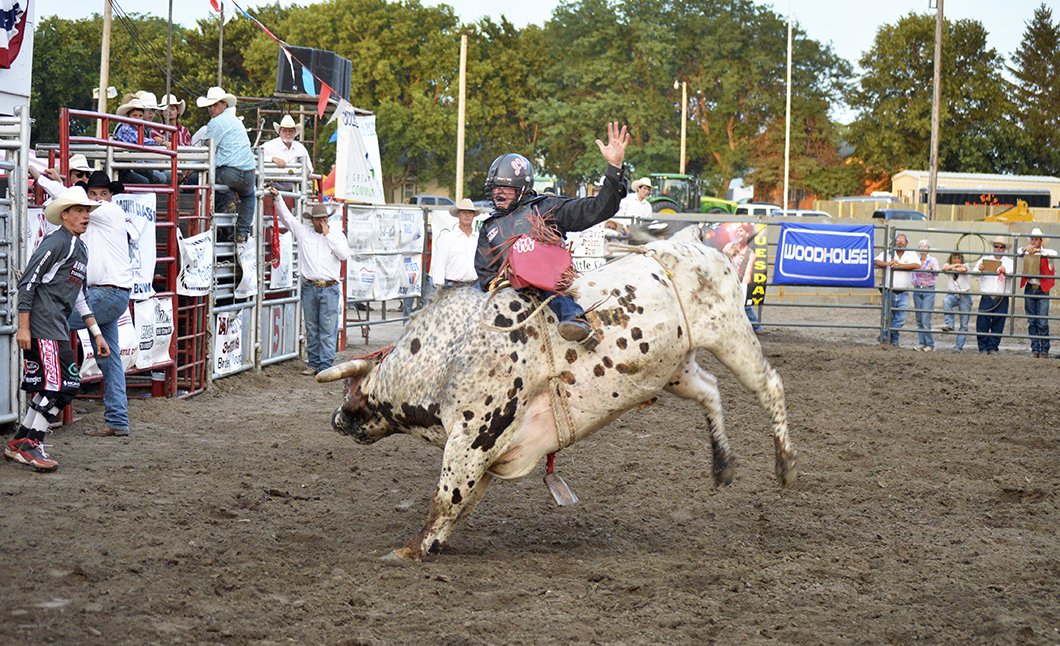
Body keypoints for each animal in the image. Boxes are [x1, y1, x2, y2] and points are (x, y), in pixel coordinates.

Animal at [317, 232, 797, 561]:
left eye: (349, 390)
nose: (336, 419)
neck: (446, 354)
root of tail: (700, 247)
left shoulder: (473, 439)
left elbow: (446, 497)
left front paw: (408, 551)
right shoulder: (490, 451)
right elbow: (461, 503)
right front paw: (431, 545)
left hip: (731, 333)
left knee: (769, 385)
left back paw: (785, 464)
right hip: (676, 369)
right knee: (711, 392)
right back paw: (722, 465)